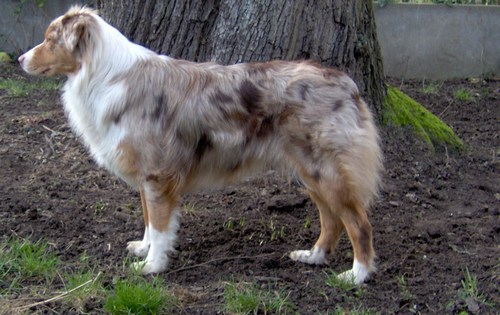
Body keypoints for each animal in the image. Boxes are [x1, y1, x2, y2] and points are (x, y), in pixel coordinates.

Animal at [17, 5, 380, 286]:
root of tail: (346, 82)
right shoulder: (147, 178)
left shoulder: (158, 176)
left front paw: (152, 266)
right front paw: (144, 249)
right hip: (310, 172)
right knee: (331, 219)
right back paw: (313, 256)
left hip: (326, 170)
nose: (20, 58)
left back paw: (357, 275)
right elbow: (148, 219)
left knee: (358, 222)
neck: (104, 76)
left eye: (49, 39)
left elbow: (160, 226)